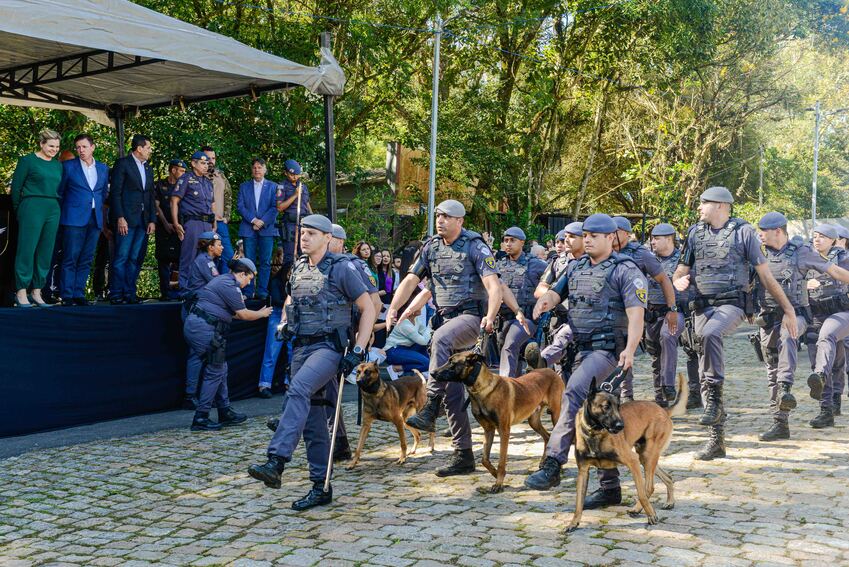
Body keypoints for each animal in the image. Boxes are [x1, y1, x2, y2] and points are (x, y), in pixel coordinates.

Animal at [430, 350, 564, 492]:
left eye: (452, 363)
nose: (432, 373)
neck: (480, 389)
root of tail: (551, 371)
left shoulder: (504, 431)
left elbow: (501, 460)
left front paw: (499, 483)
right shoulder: (488, 430)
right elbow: (484, 459)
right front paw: (495, 474)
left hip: (555, 414)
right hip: (533, 421)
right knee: (547, 436)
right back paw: (543, 462)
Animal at [564, 372, 688, 532]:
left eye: (618, 407)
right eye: (606, 407)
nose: (621, 426)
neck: (594, 433)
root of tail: (663, 410)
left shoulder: (632, 461)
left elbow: (641, 493)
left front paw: (651, 515)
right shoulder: (583, 471)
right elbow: (579, 502)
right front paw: (573, 523)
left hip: (646, 457)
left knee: (648, 488)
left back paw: (643, 510)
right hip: (645, 457)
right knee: (668, 477)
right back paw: (668, 502)